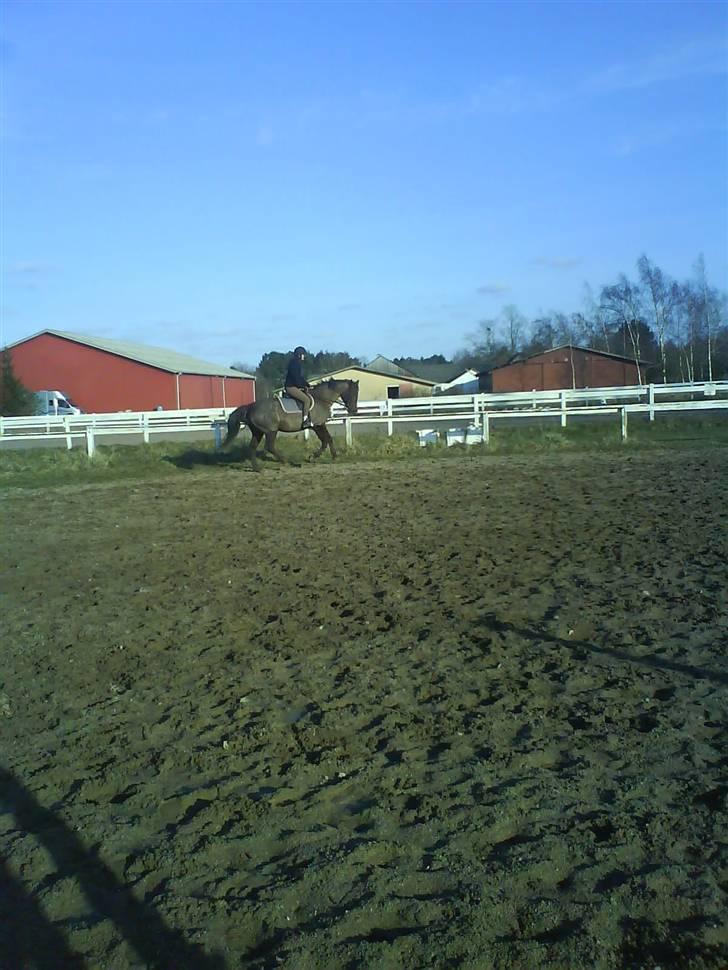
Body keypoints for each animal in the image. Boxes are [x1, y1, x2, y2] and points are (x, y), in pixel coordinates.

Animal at [222, 378, 358, 468]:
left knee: (253, 447)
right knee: (270, 446)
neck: (321, 399)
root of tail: (250, 407)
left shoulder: (319, 425)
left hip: (258, 432)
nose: (354, 411)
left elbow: (327, 439)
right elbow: (325, 440)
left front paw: (332, 456)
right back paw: (286, 461)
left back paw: (257, 468)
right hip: (271, 431)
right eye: (353, 393)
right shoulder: (318, 425)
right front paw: (314, 456)